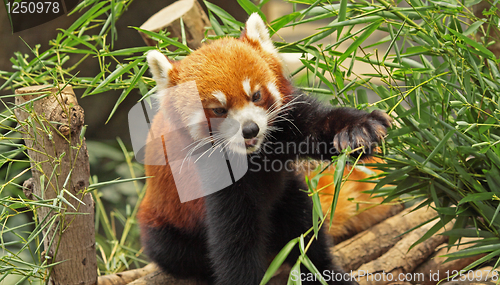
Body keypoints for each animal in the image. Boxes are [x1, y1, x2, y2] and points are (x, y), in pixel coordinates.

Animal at [139, 12, 392, 282]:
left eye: (256, 95)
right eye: (219, 110)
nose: (250, 129)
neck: (255, 155)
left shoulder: (289, 120)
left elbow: (321, 125)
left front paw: (359, 130)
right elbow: (235, 243)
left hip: (288, 192)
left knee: (304, 228)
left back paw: (323, 271)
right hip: (165, 224)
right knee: (176, 252)